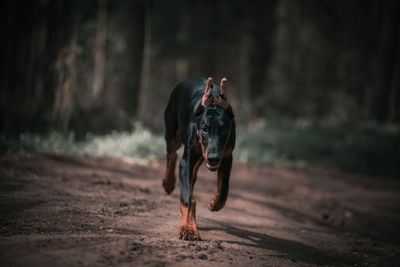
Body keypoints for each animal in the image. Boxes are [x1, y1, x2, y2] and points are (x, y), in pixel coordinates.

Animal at [161, 77, 234, 241]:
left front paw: (215, 204)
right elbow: (186, 197)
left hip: (201, 158)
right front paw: (188, 229)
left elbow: (224, 187)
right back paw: (168, 182)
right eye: (204, 129)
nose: (213, 158)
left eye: (224, 129)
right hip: (172, 131)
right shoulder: (186, 162)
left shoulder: (227, 157)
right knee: (172, 155)